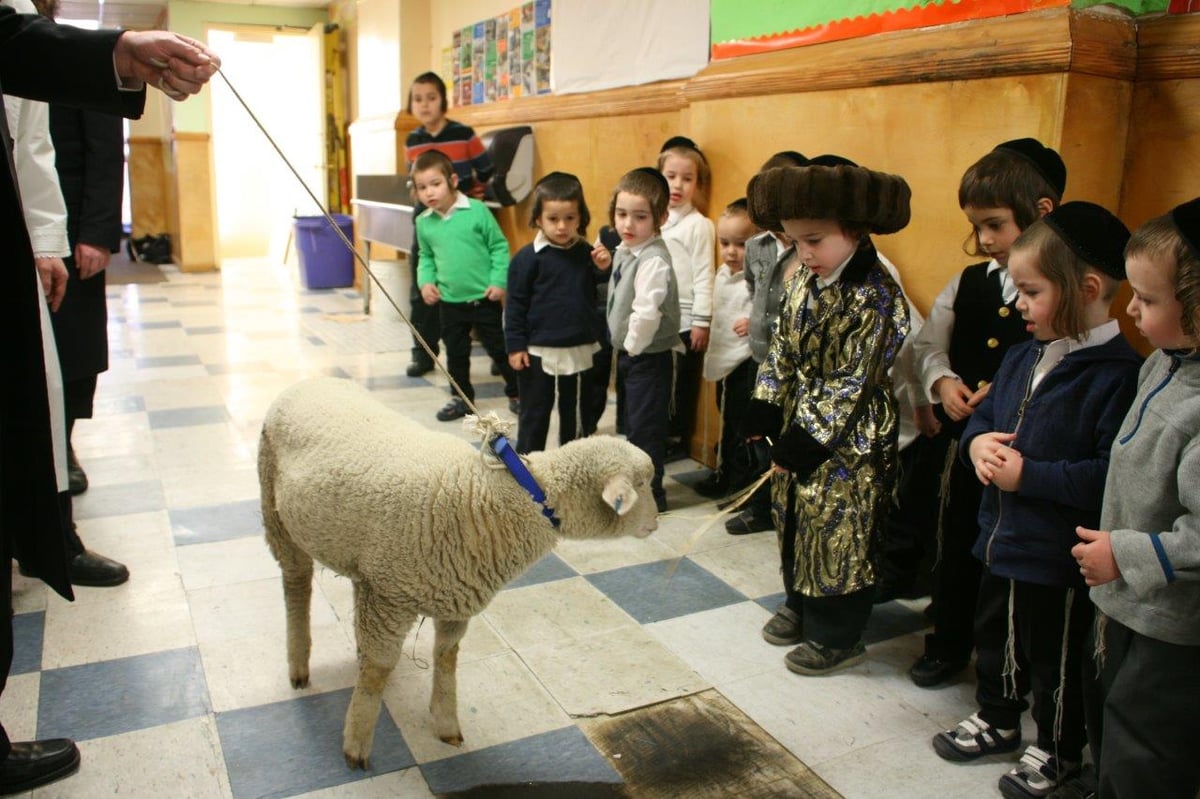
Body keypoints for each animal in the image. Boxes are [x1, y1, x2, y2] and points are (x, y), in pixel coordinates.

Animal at [256, 376, 662, 767]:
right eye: (642, 484)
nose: (658, 521)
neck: (515, 498)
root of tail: (307, 382)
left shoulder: (451, 597)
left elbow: (446, 658)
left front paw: (446, 723)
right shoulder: (393, 599)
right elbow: (377, 671)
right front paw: (356, 744)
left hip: (369, 567)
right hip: (277, 514)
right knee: (297, 587)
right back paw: (299, 664)